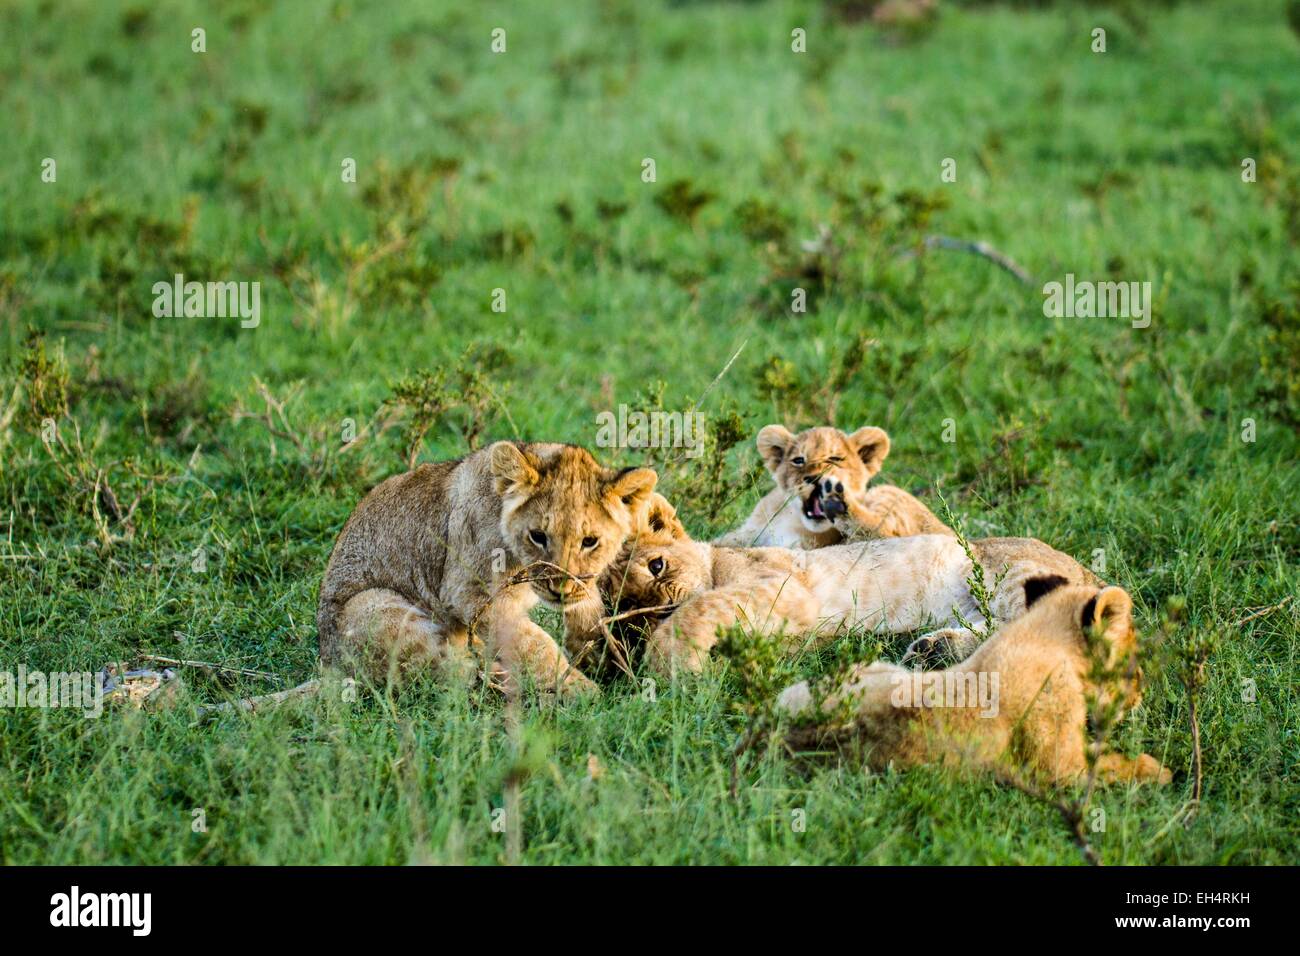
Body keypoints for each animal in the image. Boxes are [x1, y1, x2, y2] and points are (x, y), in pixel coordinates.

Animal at [317, 442, 657, 696]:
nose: (560, 589)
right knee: (442, 673)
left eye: (590, 541)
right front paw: (581, 690)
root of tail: (328, 664)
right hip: (373, 605)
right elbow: (535, 646)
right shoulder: (470, 594)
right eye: (538, 536)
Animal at [602, 494, 1097, 675]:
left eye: (657, 565)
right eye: (625, 603)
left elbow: (698, 608)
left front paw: (670, 665)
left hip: (1013, 574)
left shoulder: (783, 588)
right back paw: (934, 650)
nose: (658, 609)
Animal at [715, 424, 952, 550]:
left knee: (887, 534)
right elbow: (723, 541)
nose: (815, 478)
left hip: (889, 495)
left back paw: (839, 504)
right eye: (799, 460)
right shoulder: (750, 530)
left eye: (835, 459)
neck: (791, 519)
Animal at [775, 581, 1172, 786]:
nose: (1138, 697)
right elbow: (1111, 764)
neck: (1038, 636)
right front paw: (1159, 770)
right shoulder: (1061, 767)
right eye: (1135, 670)